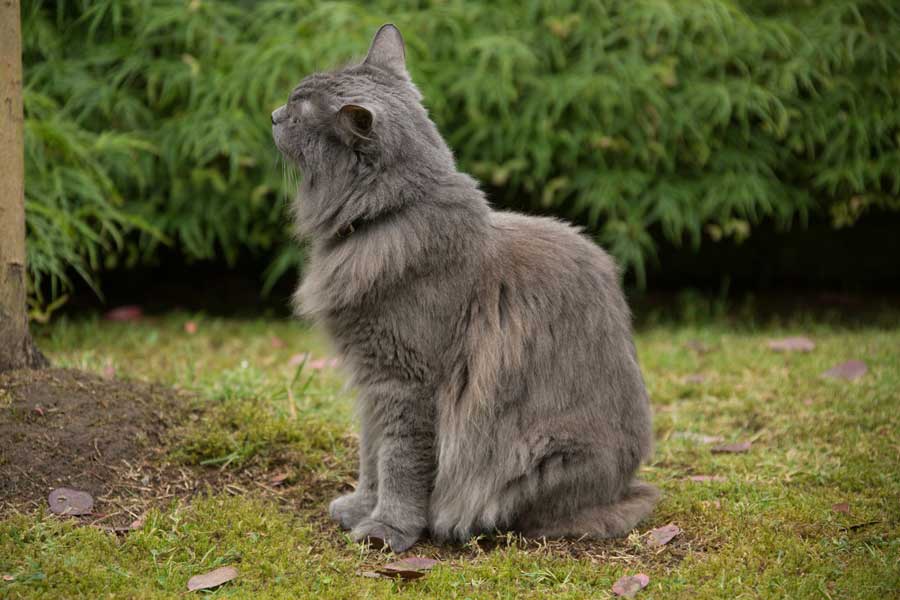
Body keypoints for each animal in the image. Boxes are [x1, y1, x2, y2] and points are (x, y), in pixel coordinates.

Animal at [270, 23, 656, 552]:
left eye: (297, 107)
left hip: (539, 452)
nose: (272, 115)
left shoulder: (405, 382)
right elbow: (369, 452)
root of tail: (623, 486)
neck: (384, 220)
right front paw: (359, 507)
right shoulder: (372, 380)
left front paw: (388, 529)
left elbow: (398, 462)